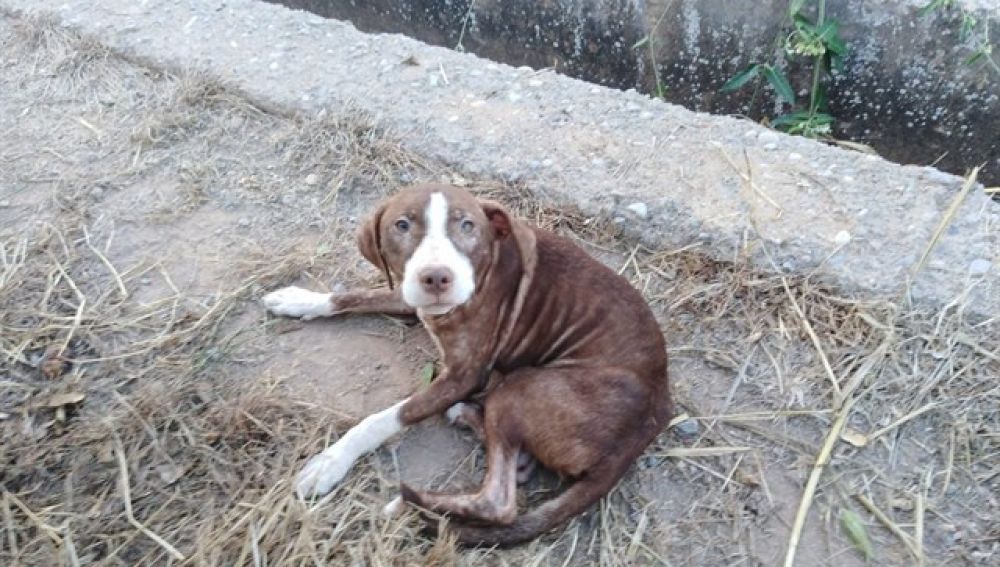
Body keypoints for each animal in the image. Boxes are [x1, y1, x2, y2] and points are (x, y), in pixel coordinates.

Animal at [264, 184, 672, 548]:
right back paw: (472, 424)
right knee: (512, 468)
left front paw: (331, 461)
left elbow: (385, 418)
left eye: (467, 225)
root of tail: (651, 421)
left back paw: (411, 506)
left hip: (521, 387)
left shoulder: (464, 375)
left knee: (499, 503)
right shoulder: (408, 294)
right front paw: (302, 300)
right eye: (402, 225)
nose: (436, 277)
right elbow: (354, 295)